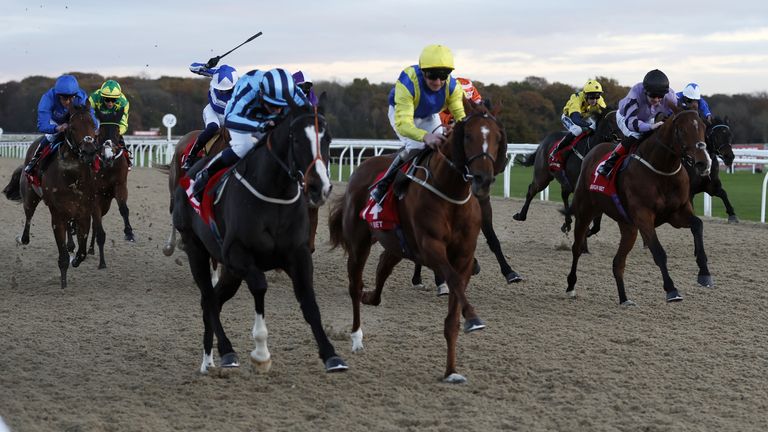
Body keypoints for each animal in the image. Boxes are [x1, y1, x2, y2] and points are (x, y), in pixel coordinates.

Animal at [2, 103, 102, 288]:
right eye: (72, 127)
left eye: (93, 125)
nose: (89, 151)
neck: (72, 176)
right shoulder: (57, 215)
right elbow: (62, 257)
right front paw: (63, 284)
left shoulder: (84, 213)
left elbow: (82, 252)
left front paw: (75, 257)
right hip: (30, 197)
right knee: (28, 223)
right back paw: (21, 238)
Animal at [172, 100, 346, 374]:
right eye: (297, 139)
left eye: (327, 138)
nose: (319, 187)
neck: (274, 194)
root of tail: (189, 174)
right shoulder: (238, 254)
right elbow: (260, 286)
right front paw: (261, 353)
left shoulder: (298, 254)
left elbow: (308, 300)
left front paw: (331, 355)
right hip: (196, 249)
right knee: (208, 299)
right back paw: (226, 351)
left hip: (231, 272)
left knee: (213, 302)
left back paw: (208, 360)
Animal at [328, 99, 508, 384]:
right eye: (468, 136)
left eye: (497, 137)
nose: (483, 179)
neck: (450, 192)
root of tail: (362, 168)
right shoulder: (430, 247)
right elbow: (453, 280)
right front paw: (473, 317)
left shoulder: (464, 256)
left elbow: (453, 312)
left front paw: (451, 371)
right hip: (359, 244)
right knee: (354, 286)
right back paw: (356, 337)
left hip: (396, 244)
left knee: (382, 269)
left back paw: (370, 297)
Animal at [564, 110, 712, 308]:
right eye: (681, 130)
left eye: (703, 127)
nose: (703, 163)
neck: (662, 171)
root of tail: (593, 151)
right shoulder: (643, 217)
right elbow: (658, 252)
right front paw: (671, 289)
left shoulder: (677, 213)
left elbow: (698, 225)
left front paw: (704, 273)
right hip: (584, 211)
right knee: (577, 248)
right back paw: (571, 286)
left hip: (628, 227)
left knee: (618, 263)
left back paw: (624, 299)